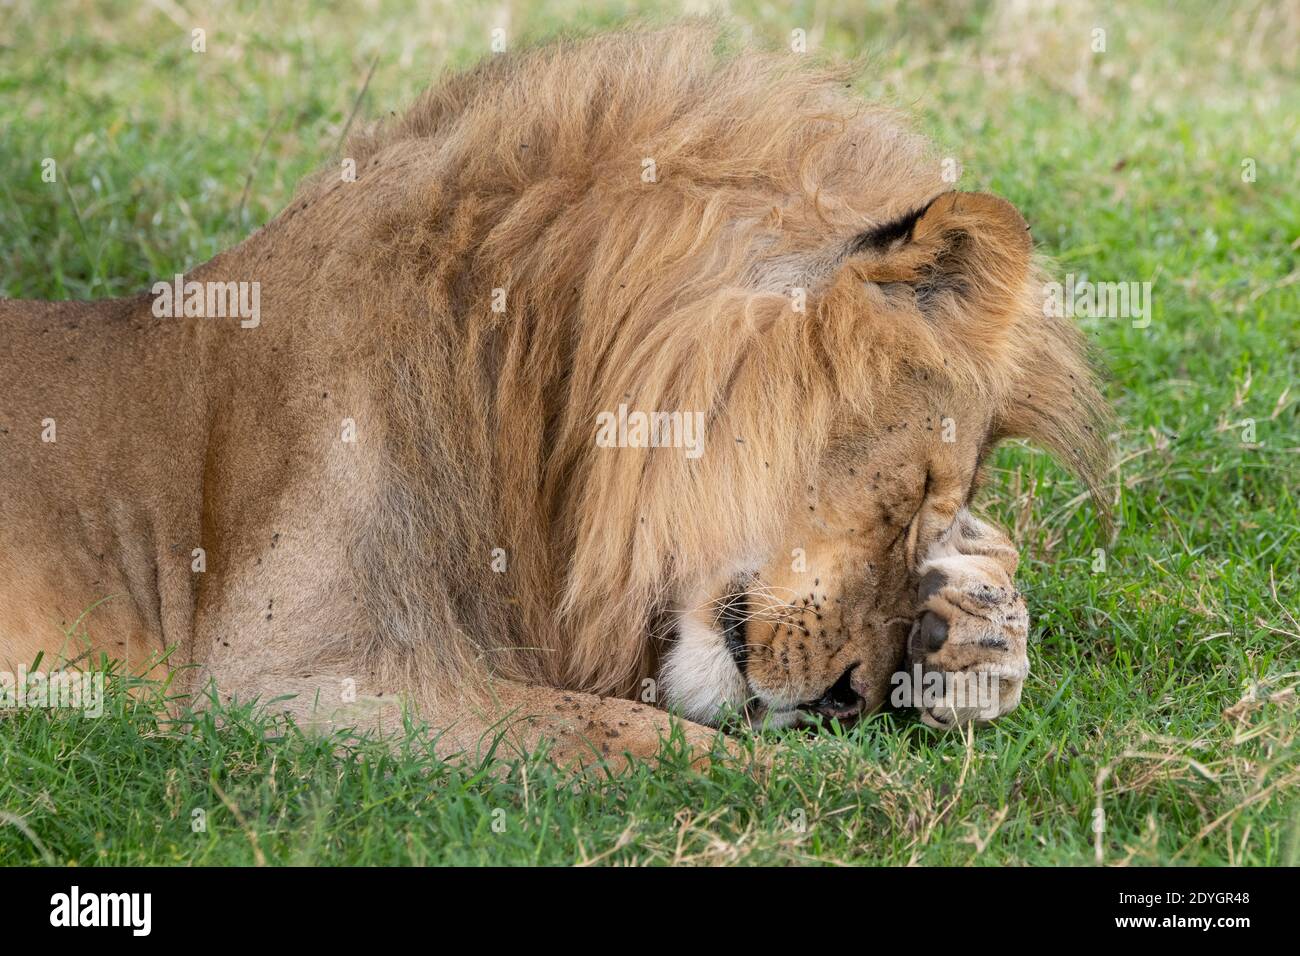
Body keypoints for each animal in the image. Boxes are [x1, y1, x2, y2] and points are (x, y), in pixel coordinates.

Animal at [0, 26, 1107, 770]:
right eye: (914, 486)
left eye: (933, 513)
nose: (849, 700)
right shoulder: (282, 673)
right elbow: (645, 737)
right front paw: (854, 792)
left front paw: (973, 627)